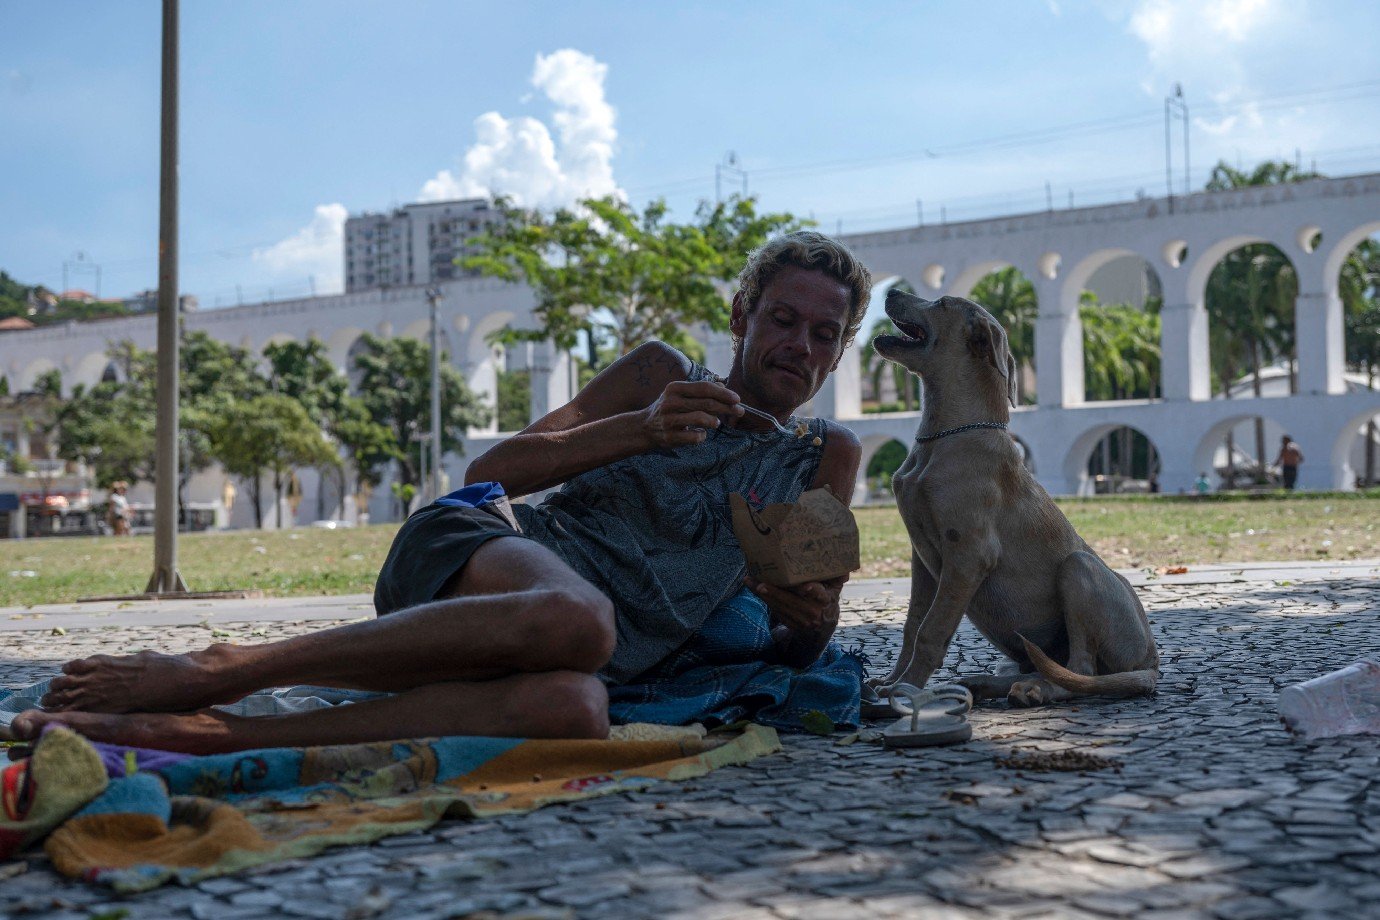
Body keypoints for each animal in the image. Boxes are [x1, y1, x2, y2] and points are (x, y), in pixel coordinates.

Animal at [872, 291, 1153, 711]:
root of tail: (1152, 660)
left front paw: (905, 690)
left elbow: (931, 631)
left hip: (1078, 567)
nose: (888, 293)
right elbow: (912, 625)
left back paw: (1036, 690)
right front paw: (890, 681)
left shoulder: (968, 554)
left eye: (942, 302)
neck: (946, 437)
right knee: (1048, 668)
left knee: (1081, 670)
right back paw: (988, 683)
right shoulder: (921, 559)